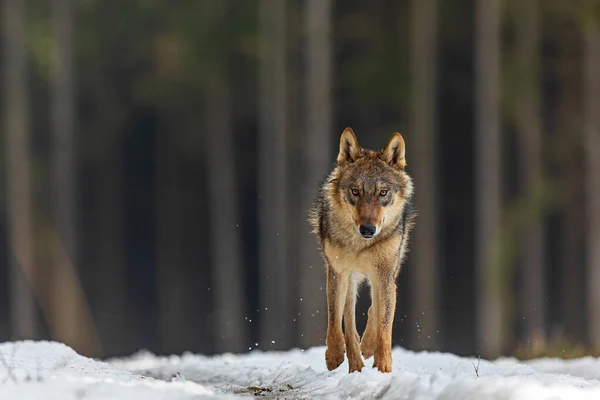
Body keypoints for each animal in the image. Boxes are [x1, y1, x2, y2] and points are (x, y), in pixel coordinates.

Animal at [308, 126, 414, 374]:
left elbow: (384, 326)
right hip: (350, 278)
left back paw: (367, 348)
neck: (360, 245)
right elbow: (336, 320)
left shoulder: (384, 274)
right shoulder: (337, 272)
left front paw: (383, 366)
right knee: (349, 319)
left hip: (388, 272)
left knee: (375, 308)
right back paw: (356, 363)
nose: (368, 229)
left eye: (383, 193)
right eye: (355, 191)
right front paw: (334, 355)